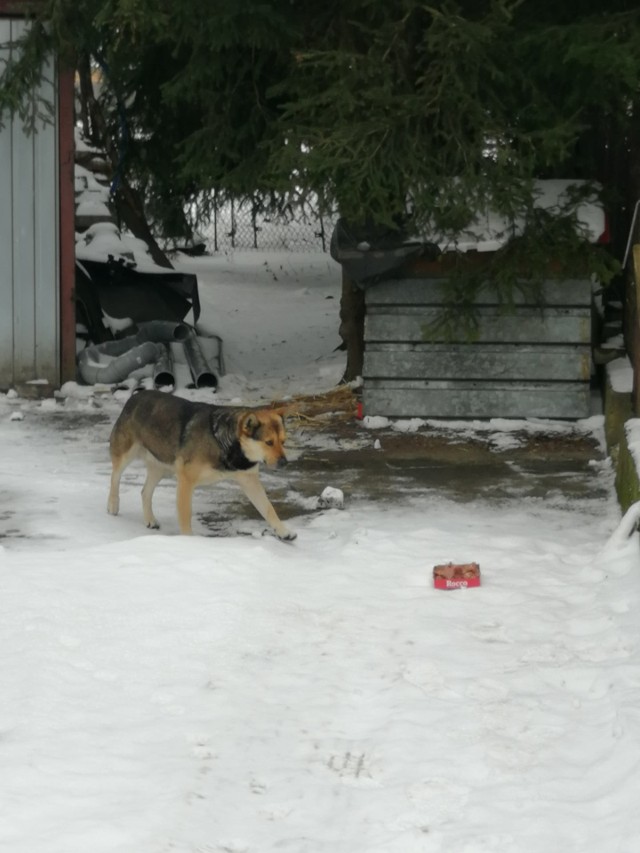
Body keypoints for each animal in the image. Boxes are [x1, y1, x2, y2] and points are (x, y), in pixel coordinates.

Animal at [106, 388, 296, 540]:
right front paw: (191, 543)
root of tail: (136, 395)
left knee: (145, 492)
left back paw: (150, 520)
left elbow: (268, 509)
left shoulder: (249, 480)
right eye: (269, 442)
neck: (225, 443)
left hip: (160, 466)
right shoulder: (186, 481)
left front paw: (283, 531)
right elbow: (185, 514)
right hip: (126, 454)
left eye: (283, 442)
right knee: (115, 477)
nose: (285, 463)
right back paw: (113, 504)